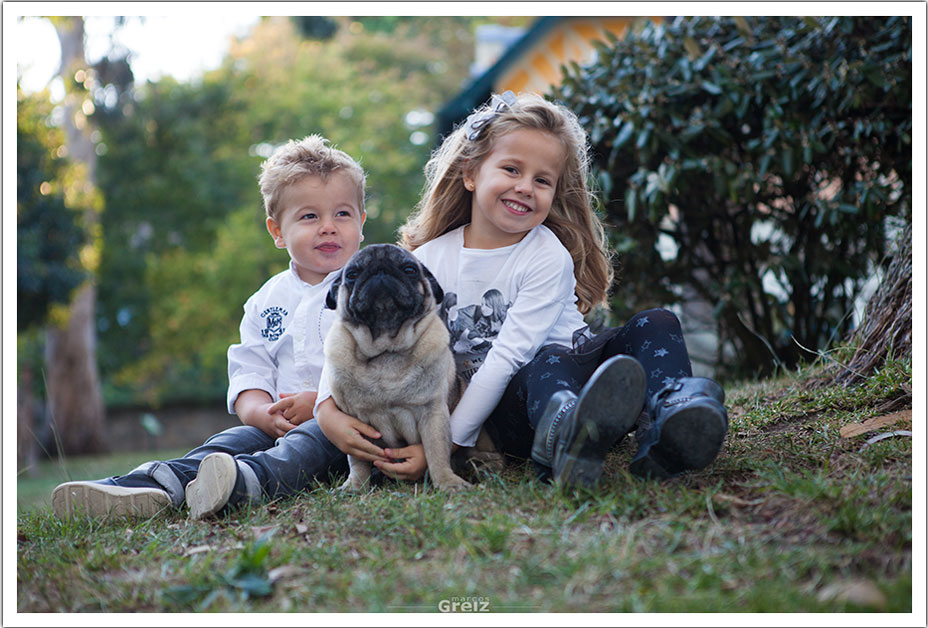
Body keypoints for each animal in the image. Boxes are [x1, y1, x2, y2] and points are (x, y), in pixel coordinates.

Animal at [324, 243, 472, 494]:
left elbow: (437, 452)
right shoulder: (353, 421)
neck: (386, 350)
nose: (380, 270)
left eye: (409, 269)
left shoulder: (433, 413)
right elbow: (357, 460)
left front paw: (447, 482)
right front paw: (355, 485)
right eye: (352, 274)